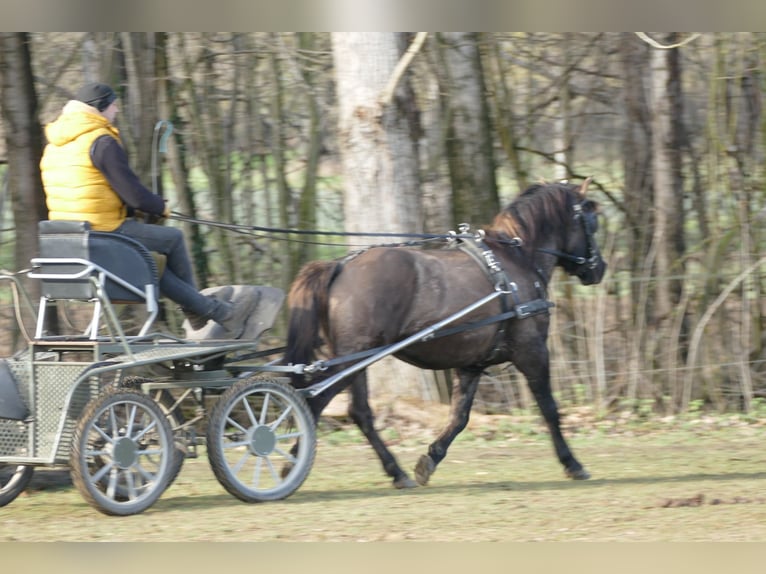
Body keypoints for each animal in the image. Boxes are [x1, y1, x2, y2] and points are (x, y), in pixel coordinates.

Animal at [284, 180, 608, 490]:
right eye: (591, 221)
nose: (600, 268)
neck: (516, 261)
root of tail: (340, 265)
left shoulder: (472, 364)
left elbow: (459, 417)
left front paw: (429, 460)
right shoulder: (533, 351)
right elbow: (550, 408)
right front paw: (572, 463)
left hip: (355, 359)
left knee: (359, 411)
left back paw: (395, 472)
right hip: (352, 359)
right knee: (315, 402)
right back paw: (292, 463)